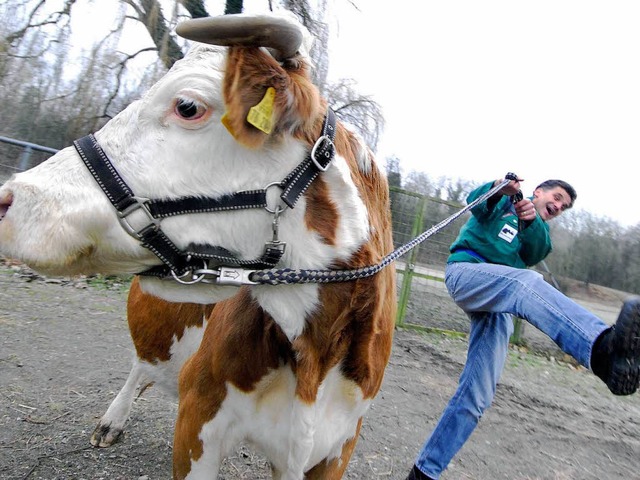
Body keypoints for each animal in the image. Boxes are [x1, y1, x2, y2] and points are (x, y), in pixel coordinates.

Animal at [0, 11, 396, 480]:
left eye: (187, 106)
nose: (9, 198)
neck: (314, 354)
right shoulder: (198, 415)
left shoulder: (338, 446)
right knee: (141, 363)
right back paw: (112, 419)